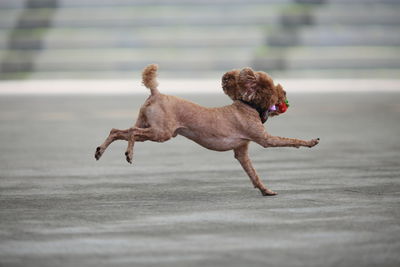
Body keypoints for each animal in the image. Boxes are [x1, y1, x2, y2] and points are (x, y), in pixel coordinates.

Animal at [94, 63, 318, 196]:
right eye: (275, 89)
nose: (286, 94)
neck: (248, 106)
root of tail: (155, 93)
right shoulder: (265, 139)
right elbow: (290, 140)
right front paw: (310, 142)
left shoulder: (241, 152)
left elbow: (253, 174)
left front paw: (265, 190)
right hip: (161, 133)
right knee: (131, 133)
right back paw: (128, 154)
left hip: (148, 126)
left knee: (117, 131)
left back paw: (100, 151)